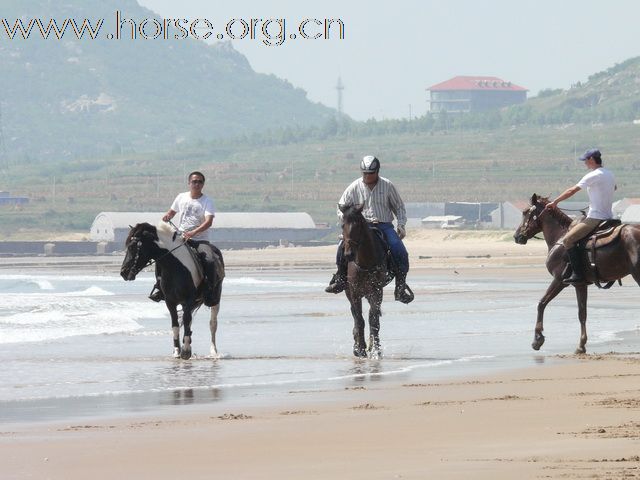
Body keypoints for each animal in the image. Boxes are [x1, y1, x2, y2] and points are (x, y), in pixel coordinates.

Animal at [121, 223, 224, 358]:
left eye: (133, 246)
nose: (123, 272)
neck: (175, 267)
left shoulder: (188, 300)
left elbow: (186, 321)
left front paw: (186, 350)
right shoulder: (170, 302)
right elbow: (175, 324)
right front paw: (177, 350)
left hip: (215, 299)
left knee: (212, 324)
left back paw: (213, 351)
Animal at [342, 204, 388, 358]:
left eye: (358, 226)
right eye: (342, 225)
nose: (349, 254)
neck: (365, 262)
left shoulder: (377, 291)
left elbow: (373, 320)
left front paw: (376, 349)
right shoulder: (355, 293)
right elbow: (359, 320)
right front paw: (360, 348)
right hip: (349, 292)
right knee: (355, 316)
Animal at [512, 193, 640, 354]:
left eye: (524, 212)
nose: (517, 236)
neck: (560, 237)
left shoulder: (559, 280)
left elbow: (542, 303)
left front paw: (538, 339)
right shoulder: (580, 285)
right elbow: (582, 313)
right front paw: (581, 344)